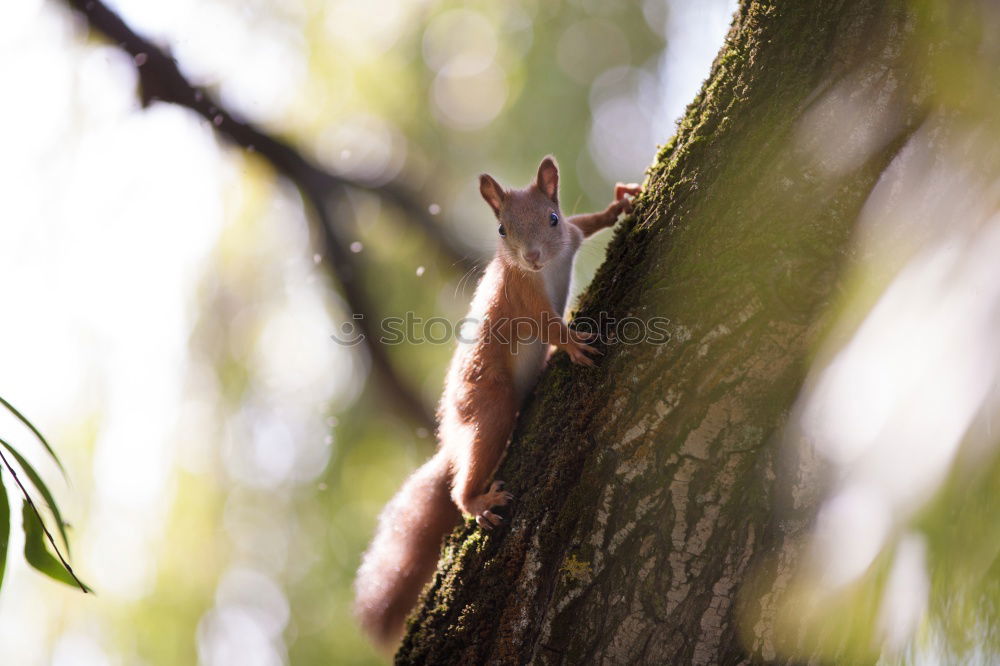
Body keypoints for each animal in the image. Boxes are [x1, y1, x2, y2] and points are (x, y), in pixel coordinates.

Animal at [352, 154, 640, 644]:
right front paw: (573, 345)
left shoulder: (571, 237)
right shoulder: (524, 298)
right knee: (465, 476)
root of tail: (451, 436)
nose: (533, 256)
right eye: (502, 229)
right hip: (490, 408)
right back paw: (476, 502)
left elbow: (587, 224)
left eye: (552, 217)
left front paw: (617, 205)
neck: (544, 269)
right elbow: (549, 327)